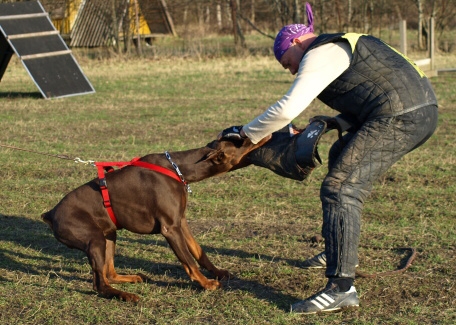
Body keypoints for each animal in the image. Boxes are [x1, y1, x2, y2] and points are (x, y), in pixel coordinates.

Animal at [41, 135, 268, 302]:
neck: (178, 168)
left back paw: (133, 278)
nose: (269, 134)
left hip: (109, 235)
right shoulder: (170, 228)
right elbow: (189, 261)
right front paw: (206, 283)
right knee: (99, 284)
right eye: (244, 142)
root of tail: (51, 213)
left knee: (109, 273)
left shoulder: (180, 221)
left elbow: (198, 251)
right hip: (94, 239)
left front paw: (218, 272)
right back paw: (126, 296)